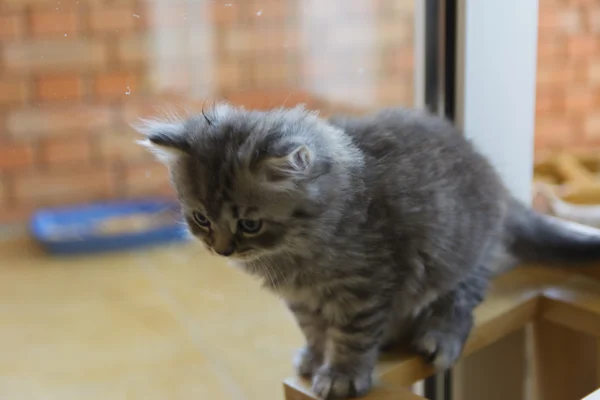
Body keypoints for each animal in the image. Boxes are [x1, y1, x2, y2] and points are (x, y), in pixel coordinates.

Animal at [138, 104, 600, 398]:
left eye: (250, 224)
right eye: (201, 219)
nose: (222, 250)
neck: (296, 251)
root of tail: (498, 186)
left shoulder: (365, 282)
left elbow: (351, 333)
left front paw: (342, 374)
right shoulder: (301, 298)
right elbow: (314, 328)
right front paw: (315, 357)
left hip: (455, 253)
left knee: (463, 295)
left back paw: (439, 334)